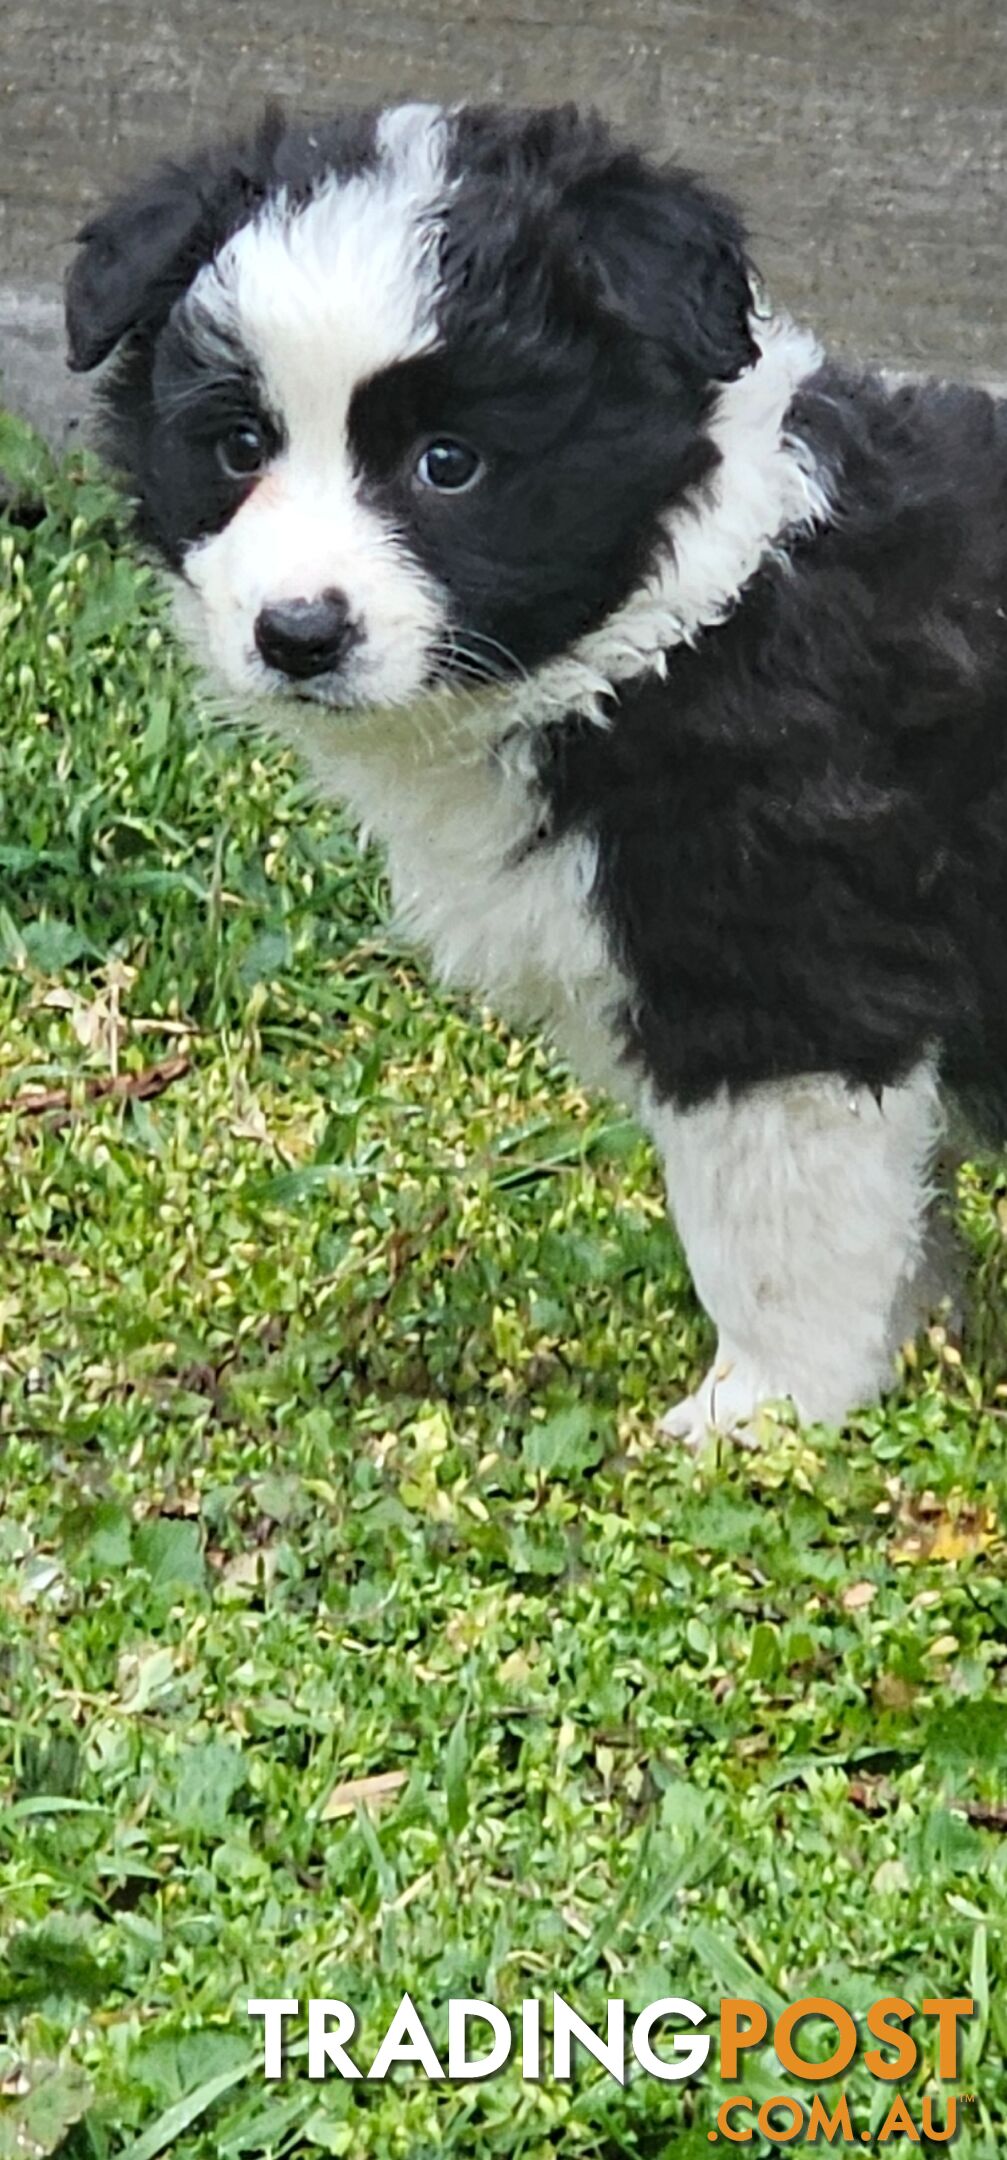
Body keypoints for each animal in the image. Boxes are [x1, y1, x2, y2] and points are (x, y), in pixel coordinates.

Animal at [64, 109, 1007, 1442]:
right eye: (240, 447)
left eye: (447, 464)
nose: (298, 633)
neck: (668, 630)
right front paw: (899, 1359)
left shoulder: (783, 987)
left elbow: (781, 1239)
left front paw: (757, 1419)